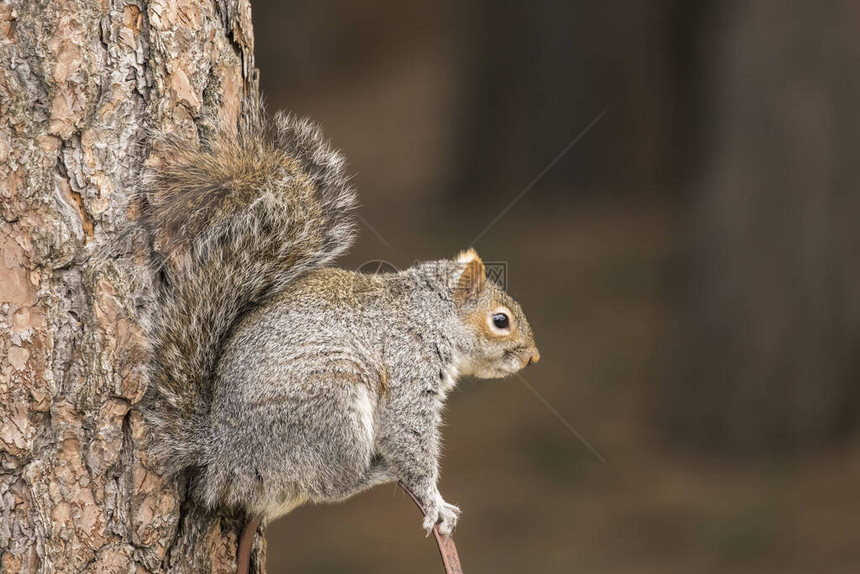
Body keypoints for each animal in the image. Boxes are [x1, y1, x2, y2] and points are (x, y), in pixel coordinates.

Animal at [135, 106, 540, 544]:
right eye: (500, 321)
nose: (533, 357)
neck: (425, 316)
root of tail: (221, 452)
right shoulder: (408, 369)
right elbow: (408, 438)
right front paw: (435, 503)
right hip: (332, 408)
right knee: (332, 485)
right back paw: (376, 471)